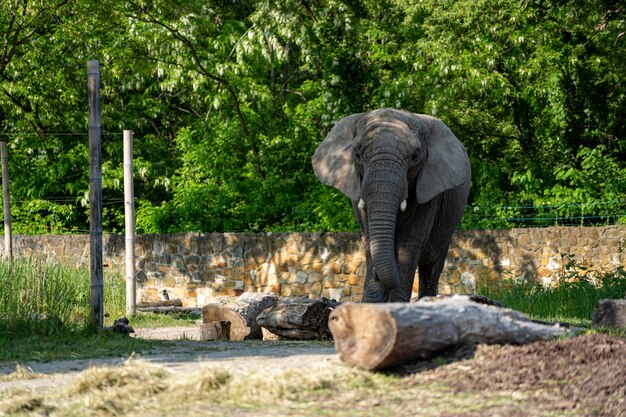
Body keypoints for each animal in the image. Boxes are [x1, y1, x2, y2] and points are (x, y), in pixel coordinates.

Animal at [310, 109, 468, 300]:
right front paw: (371, 303)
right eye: (357, 155)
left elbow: (408, 245)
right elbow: (371, 241)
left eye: (415, 156)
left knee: (432, 267)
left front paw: (395, 303)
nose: (377, 276)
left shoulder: (430, 195)